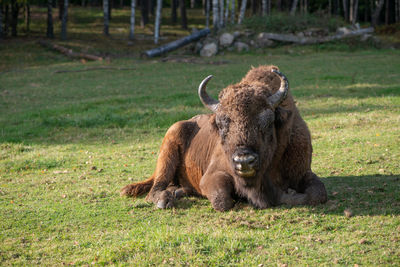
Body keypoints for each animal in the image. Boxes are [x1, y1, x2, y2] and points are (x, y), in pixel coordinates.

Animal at [121, 65, 328, 211]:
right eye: (221, 124)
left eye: (268, 121)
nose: (244, 160)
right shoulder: (212, 175)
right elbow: (222, 200)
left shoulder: (303, 172)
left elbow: (316, 194)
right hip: (168, 149)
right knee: (155, 188)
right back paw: (165, 199)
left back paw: (178, 191)